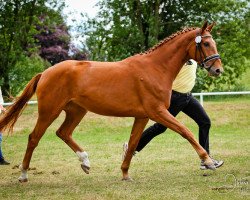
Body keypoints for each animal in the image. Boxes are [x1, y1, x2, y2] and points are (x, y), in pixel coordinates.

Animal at [0, 21, 223, 182]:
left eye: (213, 43)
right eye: (205, 43)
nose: (218, 69)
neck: (155, 68)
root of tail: (45, 73)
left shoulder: (142, 116)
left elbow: (133, 143)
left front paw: (125, 174)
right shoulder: (157, 111)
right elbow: (186, 132)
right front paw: (208, 161)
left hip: (76, 111)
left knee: (63, 132)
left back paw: (85, 162)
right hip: (49, 111)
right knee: (34, 138)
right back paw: (23, 175)